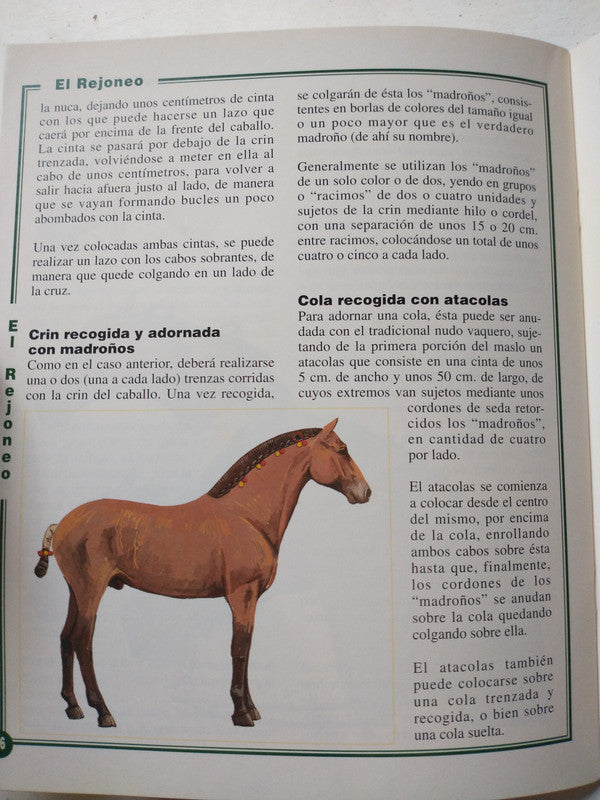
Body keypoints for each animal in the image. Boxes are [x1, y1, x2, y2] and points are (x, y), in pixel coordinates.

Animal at [34, 418, 371, 728]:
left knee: (66, 639)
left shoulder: (250, 600)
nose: (365, 492)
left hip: (75, 591)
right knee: (83, 642)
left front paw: (252, 708)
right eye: (343, 450)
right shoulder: (241, 596)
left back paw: (73, 706)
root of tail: (63, 523)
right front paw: (241, 712)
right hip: (91, 590)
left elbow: (246, 649)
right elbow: (239, 649)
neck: (247, 517)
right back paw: (103, 711)